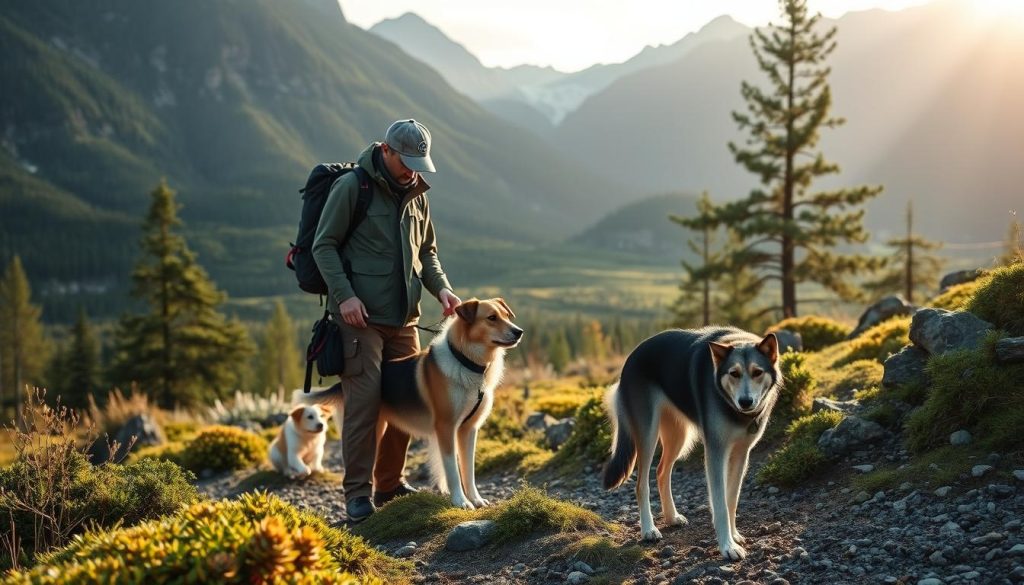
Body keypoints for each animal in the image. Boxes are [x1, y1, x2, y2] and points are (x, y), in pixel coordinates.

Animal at [294, 297, 520, 508]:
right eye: (492, 318)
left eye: (507, 316)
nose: (519, 332)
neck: (465, 361)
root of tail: (343, 383)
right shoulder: (446, 428)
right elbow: (453, 471)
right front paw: (460, 501)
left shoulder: (469, 430)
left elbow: (468, 470)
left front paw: (475, 499)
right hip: (370, 429)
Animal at [602, 327, 778, 561]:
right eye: (734, 373)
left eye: (757, 372)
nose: (746, 402)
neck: (732, 408)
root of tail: (632, 356)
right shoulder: (715, 452)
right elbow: (720, 505)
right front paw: (727, 546)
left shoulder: (742, 453)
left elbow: (731, 499)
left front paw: (734, 535)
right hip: (648, 434)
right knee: (641, 485)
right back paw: (649, 530)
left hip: (678, 436)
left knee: (661, 472)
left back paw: (671, 517)